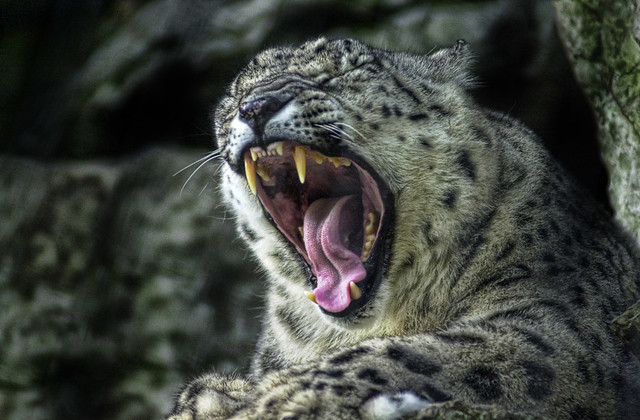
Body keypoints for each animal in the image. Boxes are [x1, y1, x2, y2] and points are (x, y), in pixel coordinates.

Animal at [166, 37, 640, 418]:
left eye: (342, 73)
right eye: (234, 97)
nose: (256, 106)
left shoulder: (556, 319)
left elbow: (409, 355)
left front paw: (269, 400)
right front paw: (213, 397)